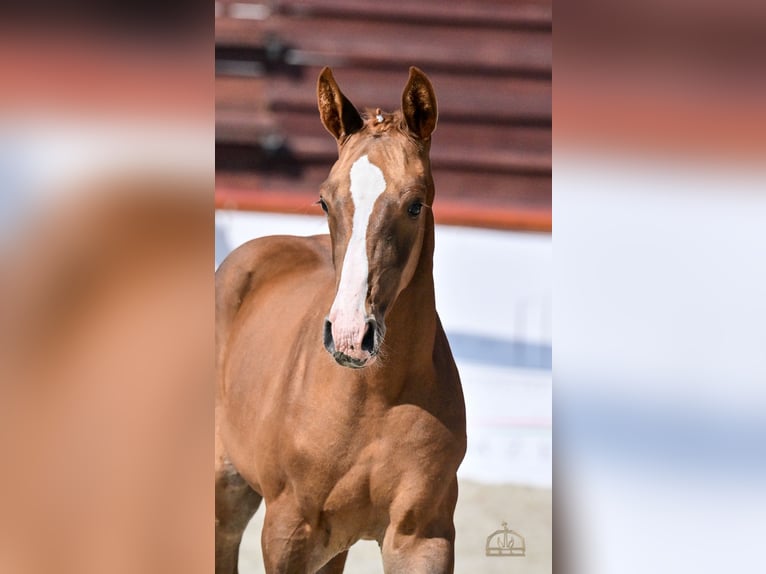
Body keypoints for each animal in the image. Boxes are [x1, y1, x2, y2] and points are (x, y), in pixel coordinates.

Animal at [215, 67, 467, 574]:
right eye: (324, 201)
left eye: (415, 204)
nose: (351, 335)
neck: (374, 398)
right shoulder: (288, 532)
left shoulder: (422, 538)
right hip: (226, 491)